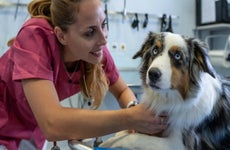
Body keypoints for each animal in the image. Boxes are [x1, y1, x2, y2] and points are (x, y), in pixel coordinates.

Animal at [100, 32, 230, 149]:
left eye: (177, 56)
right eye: (155, 51)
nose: (152, 74)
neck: (170, 98)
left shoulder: (180, 145)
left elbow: (135, 138)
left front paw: (109, 142)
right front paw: (118, 134)